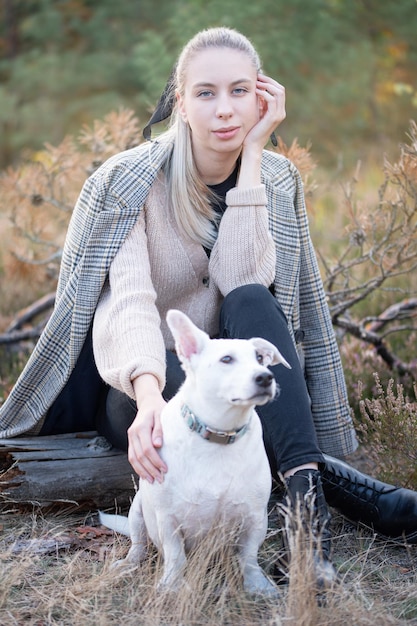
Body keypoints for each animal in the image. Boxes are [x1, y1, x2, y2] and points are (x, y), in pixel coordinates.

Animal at [100, 310, 290, 592]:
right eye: (226, 359)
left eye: (259, 359)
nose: (265, 377)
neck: (220, 434)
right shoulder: (168, 520)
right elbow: (176, 556)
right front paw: (171, 586)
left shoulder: (255, 519)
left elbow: (249, 557)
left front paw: (257, 586)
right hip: (138, 511)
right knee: (139, 544)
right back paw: (128, 562)